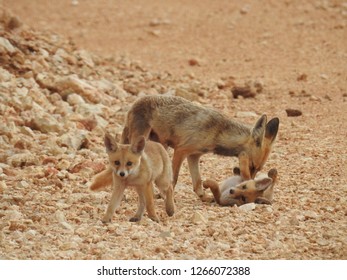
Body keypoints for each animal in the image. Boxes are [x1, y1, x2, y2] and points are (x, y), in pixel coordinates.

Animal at [121, 94, 280, 197]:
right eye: (251, 166)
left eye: (257, 169)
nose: (249, 183)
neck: (217, 133)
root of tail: (134, 103)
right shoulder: (181, 150)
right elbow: (174, 179)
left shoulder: (194, 155)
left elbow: (197, 183)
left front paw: (205, 197)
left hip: (161, 146)